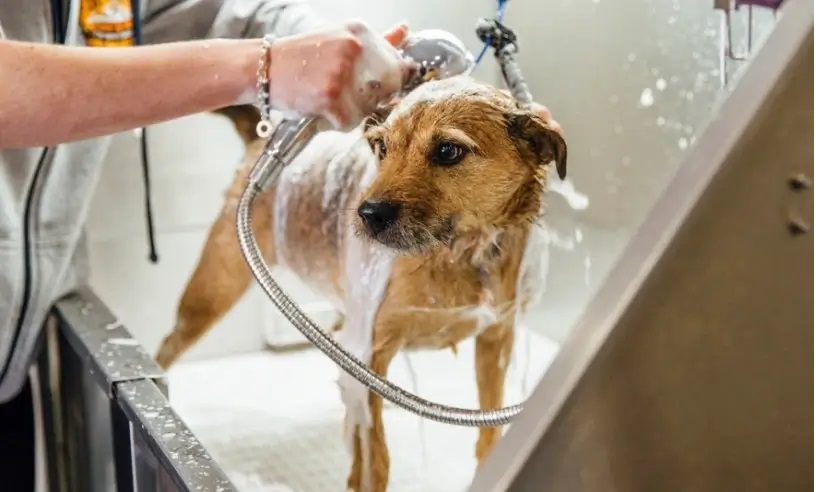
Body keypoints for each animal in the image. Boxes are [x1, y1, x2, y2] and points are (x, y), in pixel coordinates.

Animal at [154, 76, 567, 492]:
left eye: (448, 151)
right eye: (382, 147)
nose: (369, 213)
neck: (458, 254)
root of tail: (263, 140)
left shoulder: (495, 342)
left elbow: (488, 433)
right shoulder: (372, 355)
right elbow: (377, 459)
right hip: (210, 294)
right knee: (169, 344)